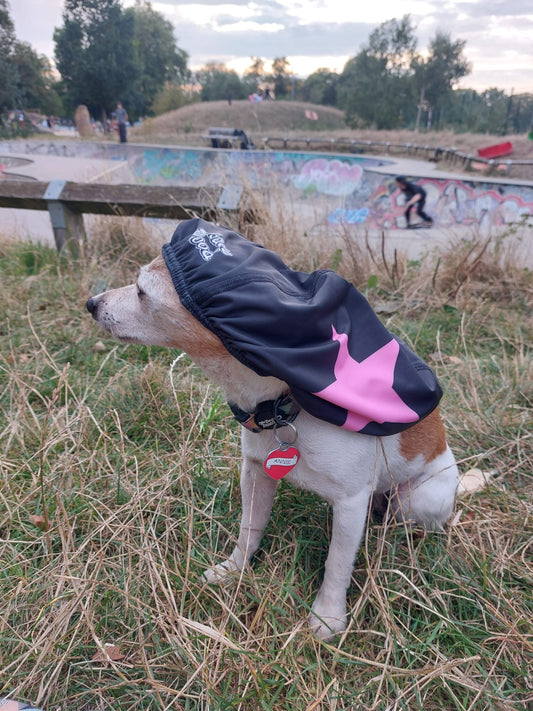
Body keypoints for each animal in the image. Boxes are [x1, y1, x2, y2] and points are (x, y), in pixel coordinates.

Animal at [87, 219, 459, 641]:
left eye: (141, 291)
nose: (92, 303)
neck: (282, 403)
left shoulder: (350, 503)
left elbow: (337, 564)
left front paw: (327, 618)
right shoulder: (255, 474)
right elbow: (249, 529)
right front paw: (233, 571)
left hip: (418, 500)